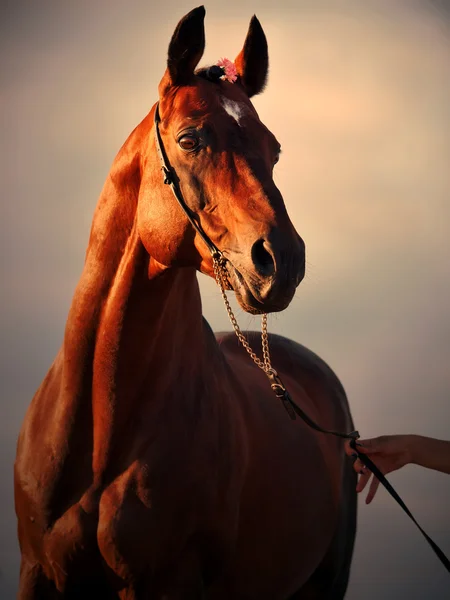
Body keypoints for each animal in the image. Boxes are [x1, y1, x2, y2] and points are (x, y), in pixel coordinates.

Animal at [14, 5, 356, 600]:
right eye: (191, 138)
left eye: (274, 149)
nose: (282, 260)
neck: (100, 435)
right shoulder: (35, 572)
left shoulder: (167, 581)